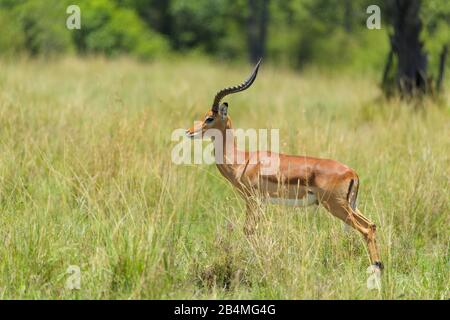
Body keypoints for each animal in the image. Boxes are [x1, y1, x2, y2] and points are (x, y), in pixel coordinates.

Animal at [185, 59, 384, 278]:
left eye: (209, 118)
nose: (189, 132)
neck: (243, 161)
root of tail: (352, 173)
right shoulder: (260, 202)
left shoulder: (253, 199)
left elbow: (249, 229)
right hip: (351, 206)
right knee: (372, 224)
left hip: (336, 206)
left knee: (366, 229)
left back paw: (376, 268)